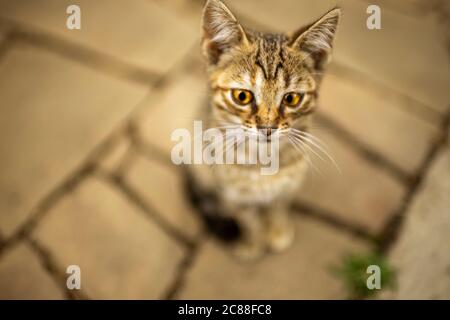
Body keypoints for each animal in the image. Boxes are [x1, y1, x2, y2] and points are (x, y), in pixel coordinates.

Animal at [190, 0, 342, 258]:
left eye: (291, 99)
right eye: (242, 96)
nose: (268, 128)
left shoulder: (288, 187)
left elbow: (278, 208)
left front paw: (278, 233)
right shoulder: (234, 195)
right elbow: (248, 221)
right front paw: (253, 244)